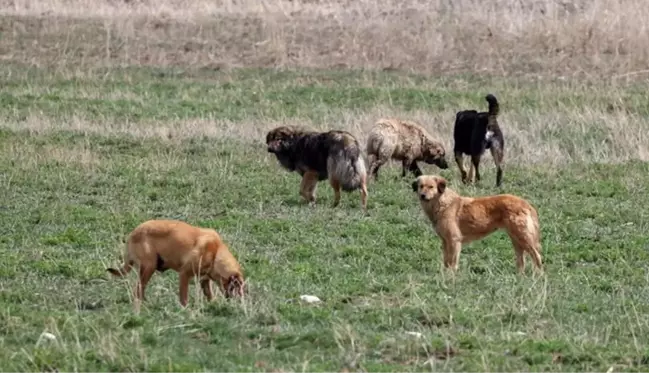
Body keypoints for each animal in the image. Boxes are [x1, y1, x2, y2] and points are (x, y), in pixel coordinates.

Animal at [107, 219, 244, 306]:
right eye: (237, 286)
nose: (242, 300)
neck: (215, 252)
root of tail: (133, 234)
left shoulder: (204, 280)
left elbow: (209, 295)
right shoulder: (184, 274)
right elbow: (184, 297)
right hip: (149, 267)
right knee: (138, 290)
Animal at [410, 174, 540, 274]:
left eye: (431, 187)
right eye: (421, 186)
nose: (422, 195)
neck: (442, 203)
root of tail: (525, 203)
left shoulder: (454, 240)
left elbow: (452, 261)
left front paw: (451, 276)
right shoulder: (445, 241)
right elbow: (446, 260)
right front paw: (445, 273)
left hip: (523, 237)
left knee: (537, 256)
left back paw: (538, 275)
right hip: (516, 239)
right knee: (521, 260)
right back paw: (519, 276)